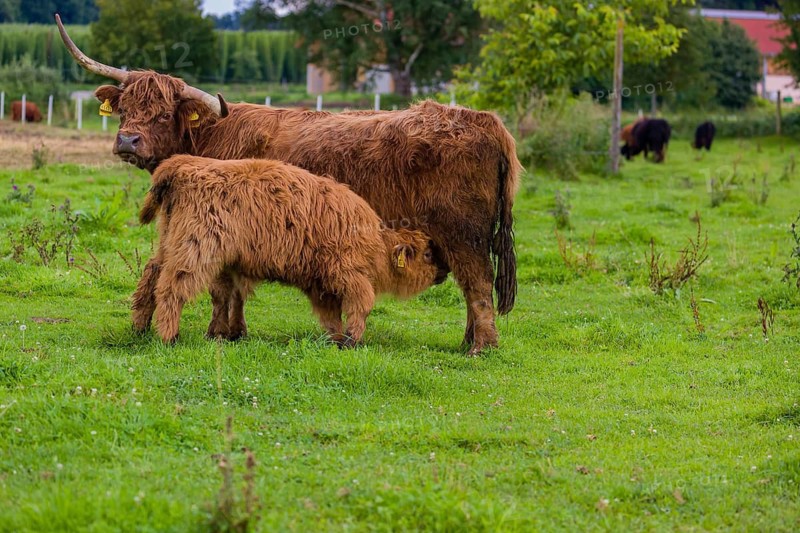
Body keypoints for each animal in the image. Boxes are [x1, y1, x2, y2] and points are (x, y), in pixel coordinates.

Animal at [137, 155, 447, 345]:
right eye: (428, 253)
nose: (444, 272)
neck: (375, 242)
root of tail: (182, 167)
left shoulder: (321, 284)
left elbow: (330, 315)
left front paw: (336, 339)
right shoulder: (347, 274)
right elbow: (362, 304)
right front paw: (353, 339)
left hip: (171, 243)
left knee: (151, 276)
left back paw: (139, 326)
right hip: (197, 249)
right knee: (173, 286)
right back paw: (169, 337)